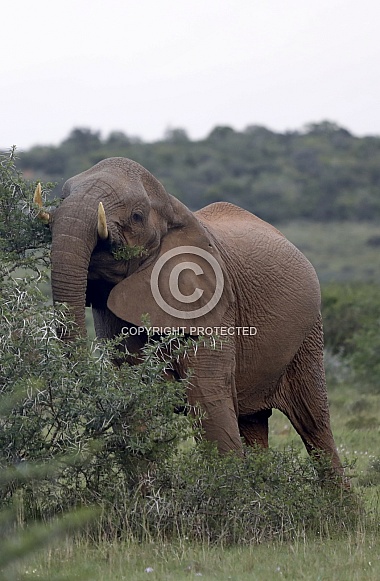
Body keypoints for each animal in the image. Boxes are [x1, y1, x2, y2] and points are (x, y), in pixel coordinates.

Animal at [37, 157, 346, 480]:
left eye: (137, 216)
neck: (175, 209)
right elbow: (134, 400)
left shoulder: (213, 304)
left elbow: (208, 399)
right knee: (253, 422)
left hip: (309, 333)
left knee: (313, 423)